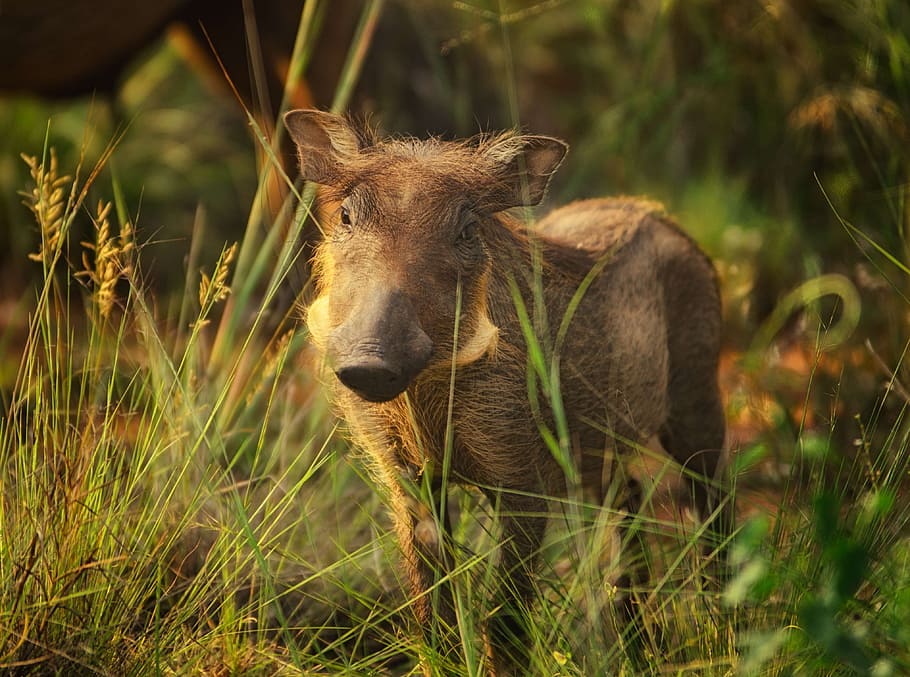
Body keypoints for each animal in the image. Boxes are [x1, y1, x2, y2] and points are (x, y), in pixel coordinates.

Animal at [284, 108, 727, 673]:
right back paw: (634, 638)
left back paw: (724, 625)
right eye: (345, 217)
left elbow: (505, 616)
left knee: (714, 509)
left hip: (697, 403)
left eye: (468, 228)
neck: (426, 394)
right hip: (595, 452)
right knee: (629, 500)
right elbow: (431, 610)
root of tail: (658, 213)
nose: (369, 362)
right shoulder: (408, 480)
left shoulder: (524, 485)